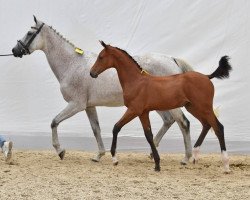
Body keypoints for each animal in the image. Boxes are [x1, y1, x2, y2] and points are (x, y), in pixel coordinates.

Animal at [11, 16, 193, 164]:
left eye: (29, 33)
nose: (15, 50)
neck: (72, 64)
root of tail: (172, 59)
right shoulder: (89, 106)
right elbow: (96, 129)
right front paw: (98, 155)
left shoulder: (76, 105)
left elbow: (54, 121)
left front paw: (60, 151)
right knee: (169, 120)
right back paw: (152, 152)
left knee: (183, 122)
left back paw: (186, 158)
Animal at [90, 40, 232, 172]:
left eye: (101, 57)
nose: (92, 73)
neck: (137, 81)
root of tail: (207, 77)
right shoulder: (143, 113)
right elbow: (148, 135)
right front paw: (157, 164)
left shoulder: (134, 110)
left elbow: (116, 127)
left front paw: (114, 158)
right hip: (193, 108)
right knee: (206, 125)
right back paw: (194, 156)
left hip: (204, 107)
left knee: (218, 127)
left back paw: (225, 165)